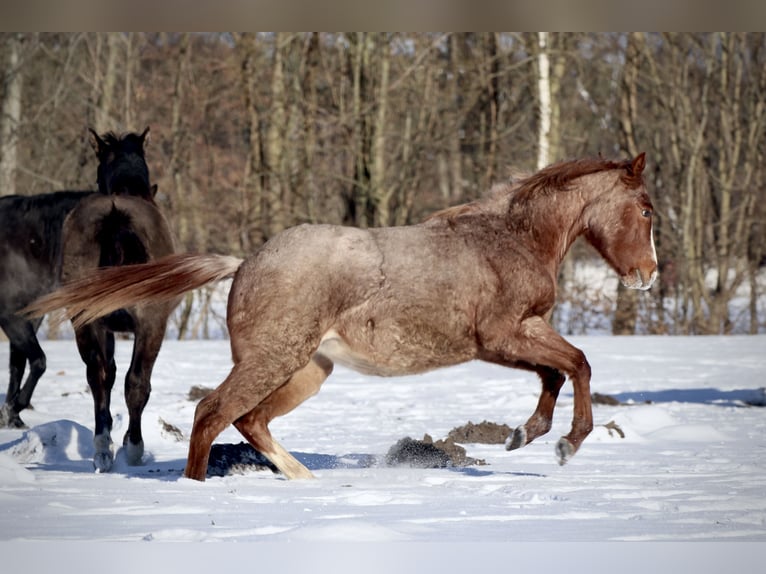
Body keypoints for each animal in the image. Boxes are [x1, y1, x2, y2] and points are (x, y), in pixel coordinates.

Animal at [26, 153, 658, 481]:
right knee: (212, 413)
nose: (648, 274)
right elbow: (578, 363)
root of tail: (245, 262)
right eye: (647, 209)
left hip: (307, 370)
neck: (508, 239)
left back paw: (301, 480)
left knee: (249, 419)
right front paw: (565, 443)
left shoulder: (522, 334)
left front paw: (527, 435)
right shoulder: (502, 336)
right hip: (274, 360)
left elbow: (560, 370)